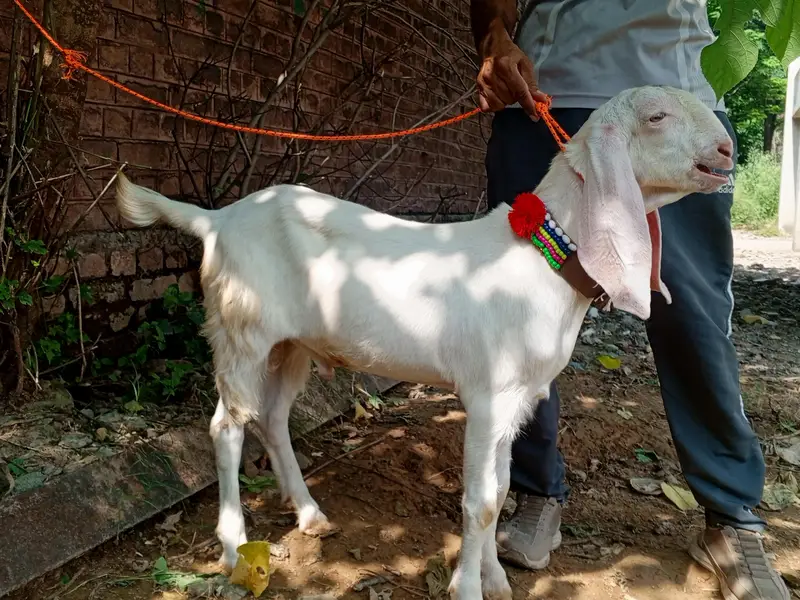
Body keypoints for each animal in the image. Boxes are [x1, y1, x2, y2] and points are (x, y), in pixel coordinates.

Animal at [115, 86, 734, 600]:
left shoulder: (517, 398)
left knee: (271, 416)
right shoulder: (488, 392)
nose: (727, 151)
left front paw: (497, 579)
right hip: (240, 329)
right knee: (227, 425)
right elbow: (480, 502)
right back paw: (232, 547)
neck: (541, 256)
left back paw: (310, 514)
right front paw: (468, 588)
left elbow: (500, 491)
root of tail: (216, 221)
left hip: (290, 345)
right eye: (656, 117)